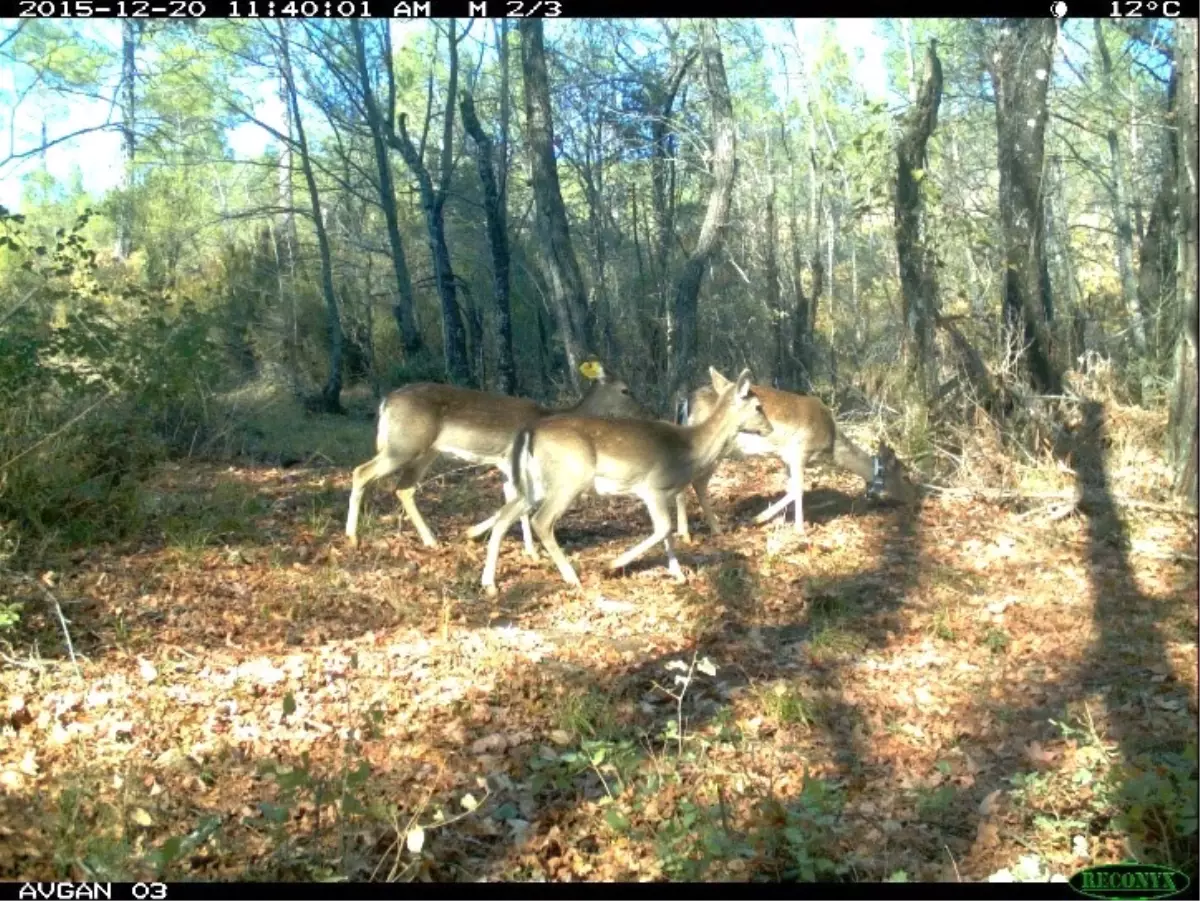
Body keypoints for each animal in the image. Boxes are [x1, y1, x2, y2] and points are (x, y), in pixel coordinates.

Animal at [343, 362, 652, 556]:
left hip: (425, 450)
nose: (644, 411)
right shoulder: (514, 460)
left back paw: (431, 540)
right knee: (361, 472)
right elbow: (522, 505)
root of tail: (385, 402)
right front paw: (530, 551)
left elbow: (513, 502)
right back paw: (352, 536)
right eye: (625, 389)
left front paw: (491, 537)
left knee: (403, 488)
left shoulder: (507, 464)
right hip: (403, 444)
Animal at [482, 369, 772, 595]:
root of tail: (529, 432)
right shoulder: (652, 486)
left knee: (504, 515)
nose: (770, 428)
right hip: (569, 478)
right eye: (758, 407)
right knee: (541, 521)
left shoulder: (664, 493)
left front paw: (677, 573)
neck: (690, 449)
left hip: (535, 484)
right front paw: (613, 564)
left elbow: (668, 533)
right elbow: (663, 528)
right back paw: (572, 577)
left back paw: (489, 583)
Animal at [672, 367, 912, 539]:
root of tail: (686, 403)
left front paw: (764, 519)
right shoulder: (800, 451)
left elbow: (790, 488)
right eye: (905, 474)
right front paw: (797, 528)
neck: (830, 447)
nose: (914, 497)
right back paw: (695, 532)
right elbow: (799, 489)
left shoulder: (785, 458)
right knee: (695, 482)